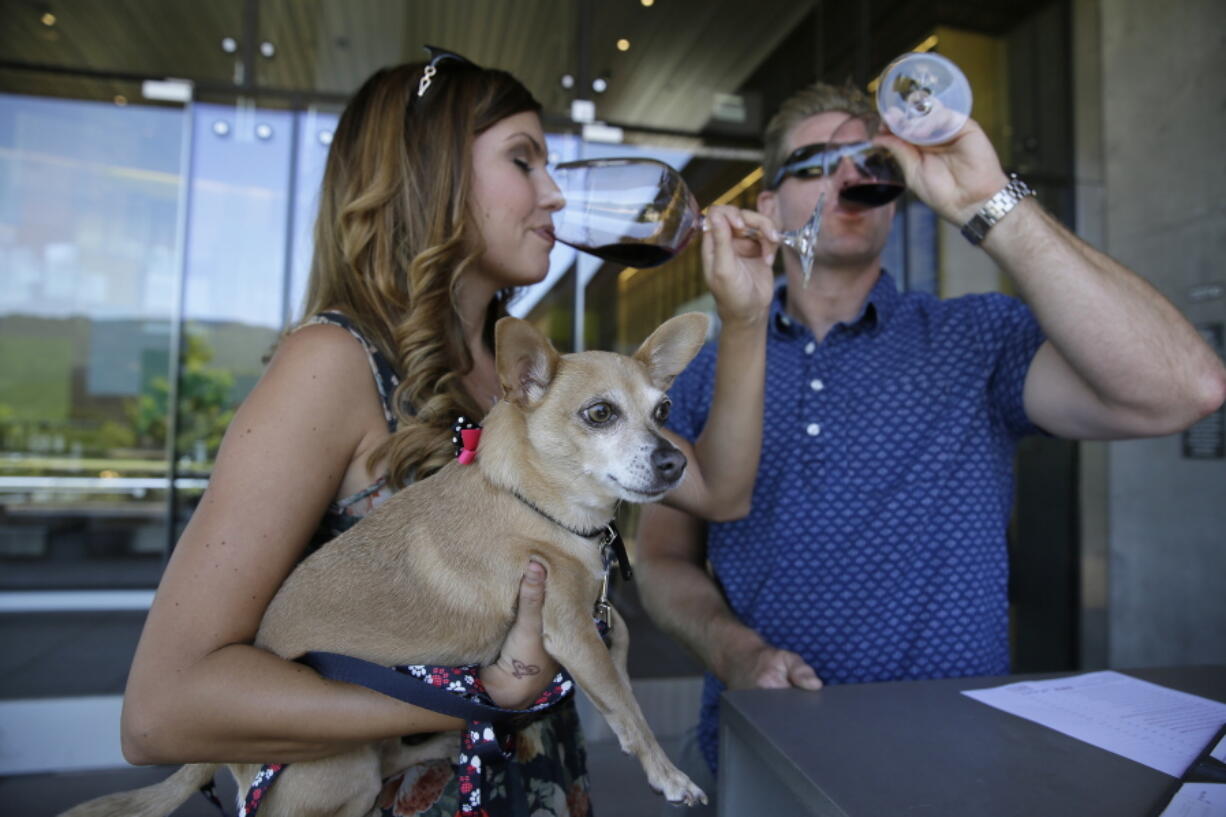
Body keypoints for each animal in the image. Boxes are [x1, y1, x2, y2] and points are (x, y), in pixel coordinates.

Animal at [62, 310, 715, 814]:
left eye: (664, 410)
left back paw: (447, 744)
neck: (534, 503)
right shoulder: (567, 628)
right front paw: (668, 774)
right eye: (600, 414)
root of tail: (223, 758)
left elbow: (620, 638)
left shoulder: (590, 612)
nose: (676, 461)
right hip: (342, 769)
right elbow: (627, 704)